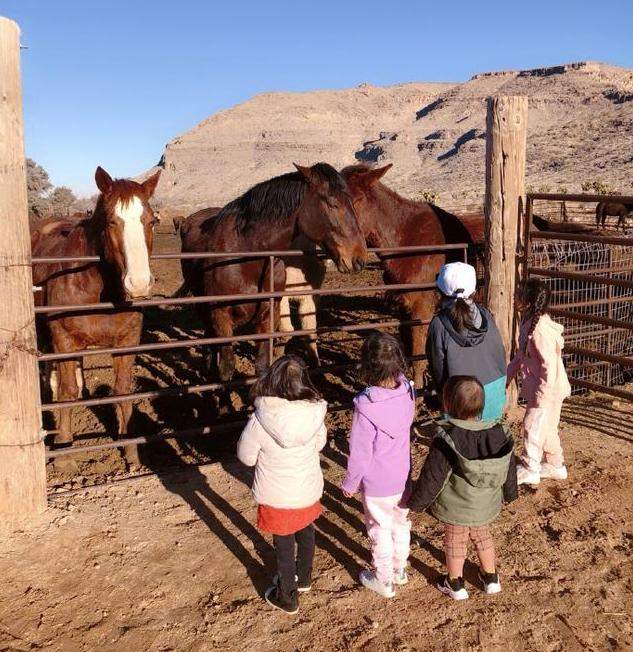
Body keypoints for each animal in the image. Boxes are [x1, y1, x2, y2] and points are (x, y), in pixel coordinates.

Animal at [32, 166, 162, 466]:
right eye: (112, 222)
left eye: (151, 221)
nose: (139, 284)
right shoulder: (64, 340)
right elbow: (68, 391)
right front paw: (64, 450)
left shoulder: (127, 341)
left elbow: (123, 389)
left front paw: (130, 448)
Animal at [178, 162, 366, 382]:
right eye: (332, 203)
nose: (359, 258)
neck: (248, 254)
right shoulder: (220, 315)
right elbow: (227, 368)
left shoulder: (268, 316)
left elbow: (261, 366)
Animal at [340, 163, 474, 388]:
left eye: (356, 200)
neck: (404, 243)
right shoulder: (403, 307)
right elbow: (406, 351)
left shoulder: (421, 310)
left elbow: (419, 353)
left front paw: (418, 388)